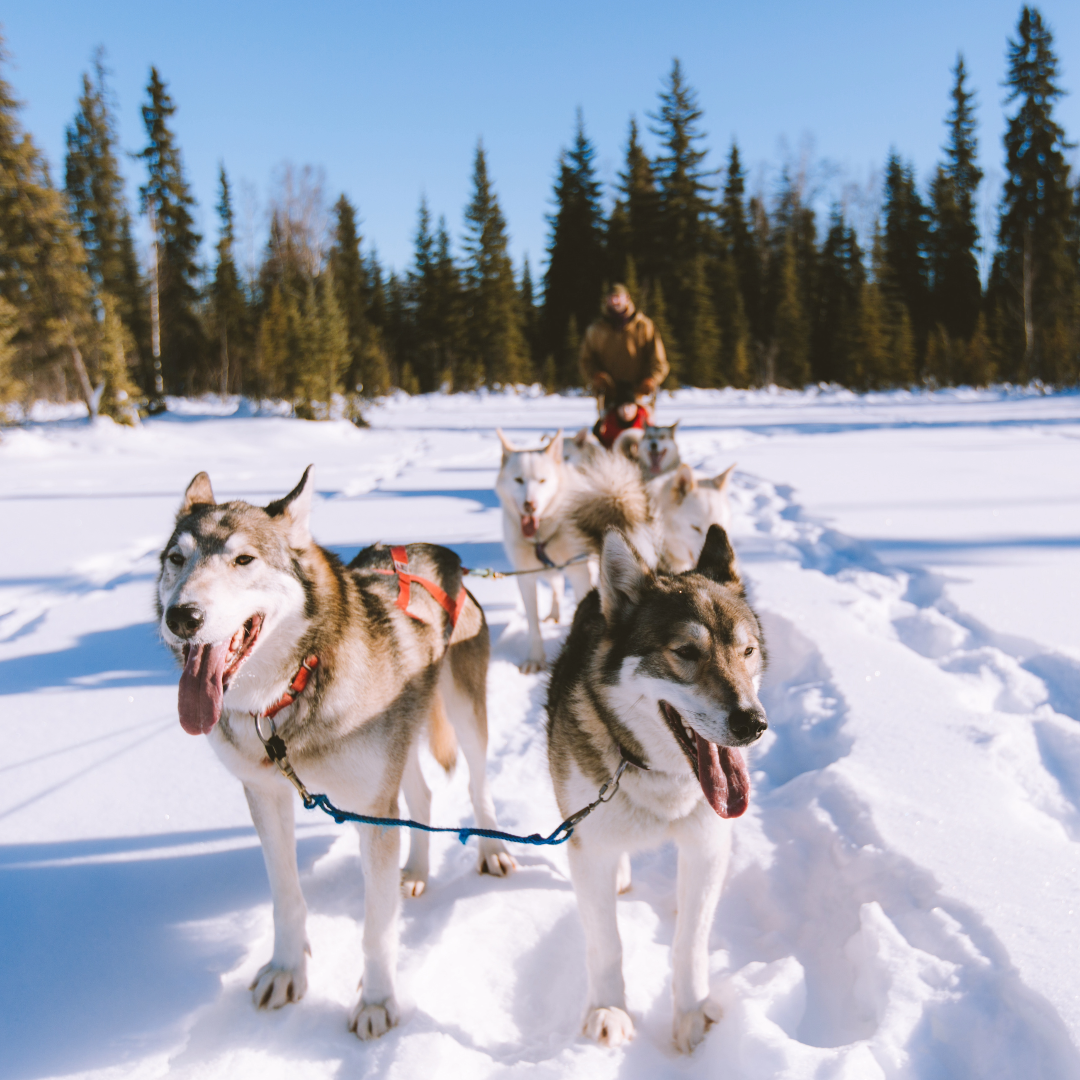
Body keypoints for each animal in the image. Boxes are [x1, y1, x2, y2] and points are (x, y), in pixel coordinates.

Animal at [156, 470, 514, 1036]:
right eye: (176, 558)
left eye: (244, 560)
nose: (182, 616)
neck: (289, 693)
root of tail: (435, 552)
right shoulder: (266, 796)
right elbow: (286, 896)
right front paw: (286, 971)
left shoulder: (371, 810)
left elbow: (377, 926)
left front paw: (377, 1001)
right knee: (421, 796)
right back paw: (416, 871)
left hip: (462, 711)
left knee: (478, 785)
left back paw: (491, 850)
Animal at [494, 427, 648, 665]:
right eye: (518, 480)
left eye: (542, 481)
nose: (530, 505)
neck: (542, 535)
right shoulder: (526, 577)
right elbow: (533, 623)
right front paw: (535, 658)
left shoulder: (579, 573)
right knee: (556, 585)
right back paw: (554, 613)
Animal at [548, 527, 768, 1049]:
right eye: (686, 652)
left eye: (747, 652)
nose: (753, 723)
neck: (659, 775)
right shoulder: (590, 849)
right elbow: (606, 942)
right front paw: (608, 1008)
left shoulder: (707, 845)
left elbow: (690, 941)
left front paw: (691, 1013)